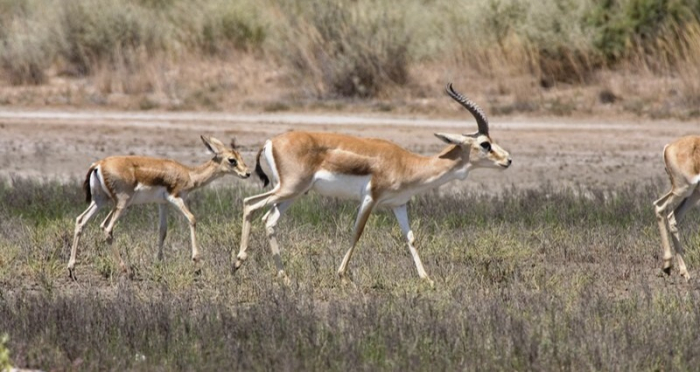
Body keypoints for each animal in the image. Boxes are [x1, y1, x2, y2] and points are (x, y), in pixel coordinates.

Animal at [68, 136, 249, 280]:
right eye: (232, 160)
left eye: (240, 156)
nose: (247, 173)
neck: (189, 174)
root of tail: (98, 164)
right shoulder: (175, 198)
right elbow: (192, 219)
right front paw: (197, 265)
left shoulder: (163, 204)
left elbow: (163, 230)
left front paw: (158, 262)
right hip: (121, 204)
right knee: (106, 228)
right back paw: (126, 271)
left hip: (100, 202)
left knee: (81, 220)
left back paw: (71, 270)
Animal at [232, 83, 512, 284]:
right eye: (485, 144)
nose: (508, 160)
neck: (406, 163)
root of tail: (270, 141)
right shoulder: (370, 198)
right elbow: (357, 232)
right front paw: (342, 275)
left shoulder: (399, 205)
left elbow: (410, 238)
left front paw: (427, 279)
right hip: (289, 189)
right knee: (250, 204)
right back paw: (238, 262)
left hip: (292, 194)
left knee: (269, 220)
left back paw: (285, 277)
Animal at [652, 135, 696, 280]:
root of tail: (668, 147)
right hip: (683, 189)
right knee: (660, 206)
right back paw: (667, 265)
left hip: (693, 193)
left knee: (673, 216)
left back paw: (683, 272)